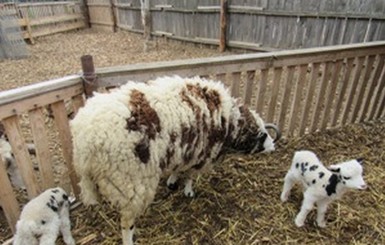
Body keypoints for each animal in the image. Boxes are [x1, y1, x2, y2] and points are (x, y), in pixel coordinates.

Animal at [70, 75, 280, 244]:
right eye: (262, 136)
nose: (273, 147)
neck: (229, 122)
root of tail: (84, 141)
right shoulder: (199, 154)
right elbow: (190, 176)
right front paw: (187, 190)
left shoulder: (184, 149)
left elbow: (179, 168)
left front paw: (172, 182)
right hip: (131, 182)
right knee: (126, 223)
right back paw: (129, 239)